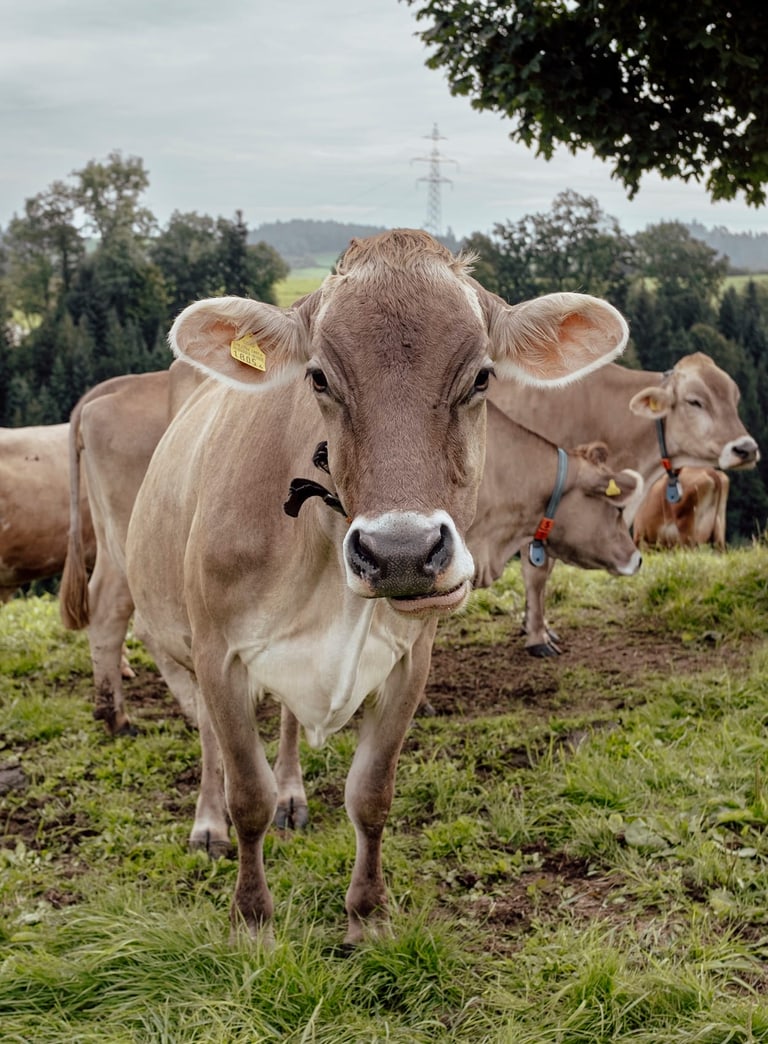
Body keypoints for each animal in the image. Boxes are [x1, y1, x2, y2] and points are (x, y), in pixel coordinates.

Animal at [122, 229, 629, 945]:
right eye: (319, 377)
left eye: (481, 376)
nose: (400, 554)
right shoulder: (218, 653)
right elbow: (246, 793)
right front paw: (251, 917)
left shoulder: (410, 660)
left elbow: (371, 793)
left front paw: (367, 915)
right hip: (176, 644)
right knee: (211, 744)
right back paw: (208, 824)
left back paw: (294, 795)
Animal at [489, 353, 759, 655]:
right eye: (695, 401)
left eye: (734, 398)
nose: (746, 449)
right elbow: (537, 574)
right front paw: (537, 638)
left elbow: (546, 572)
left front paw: (538, 627)